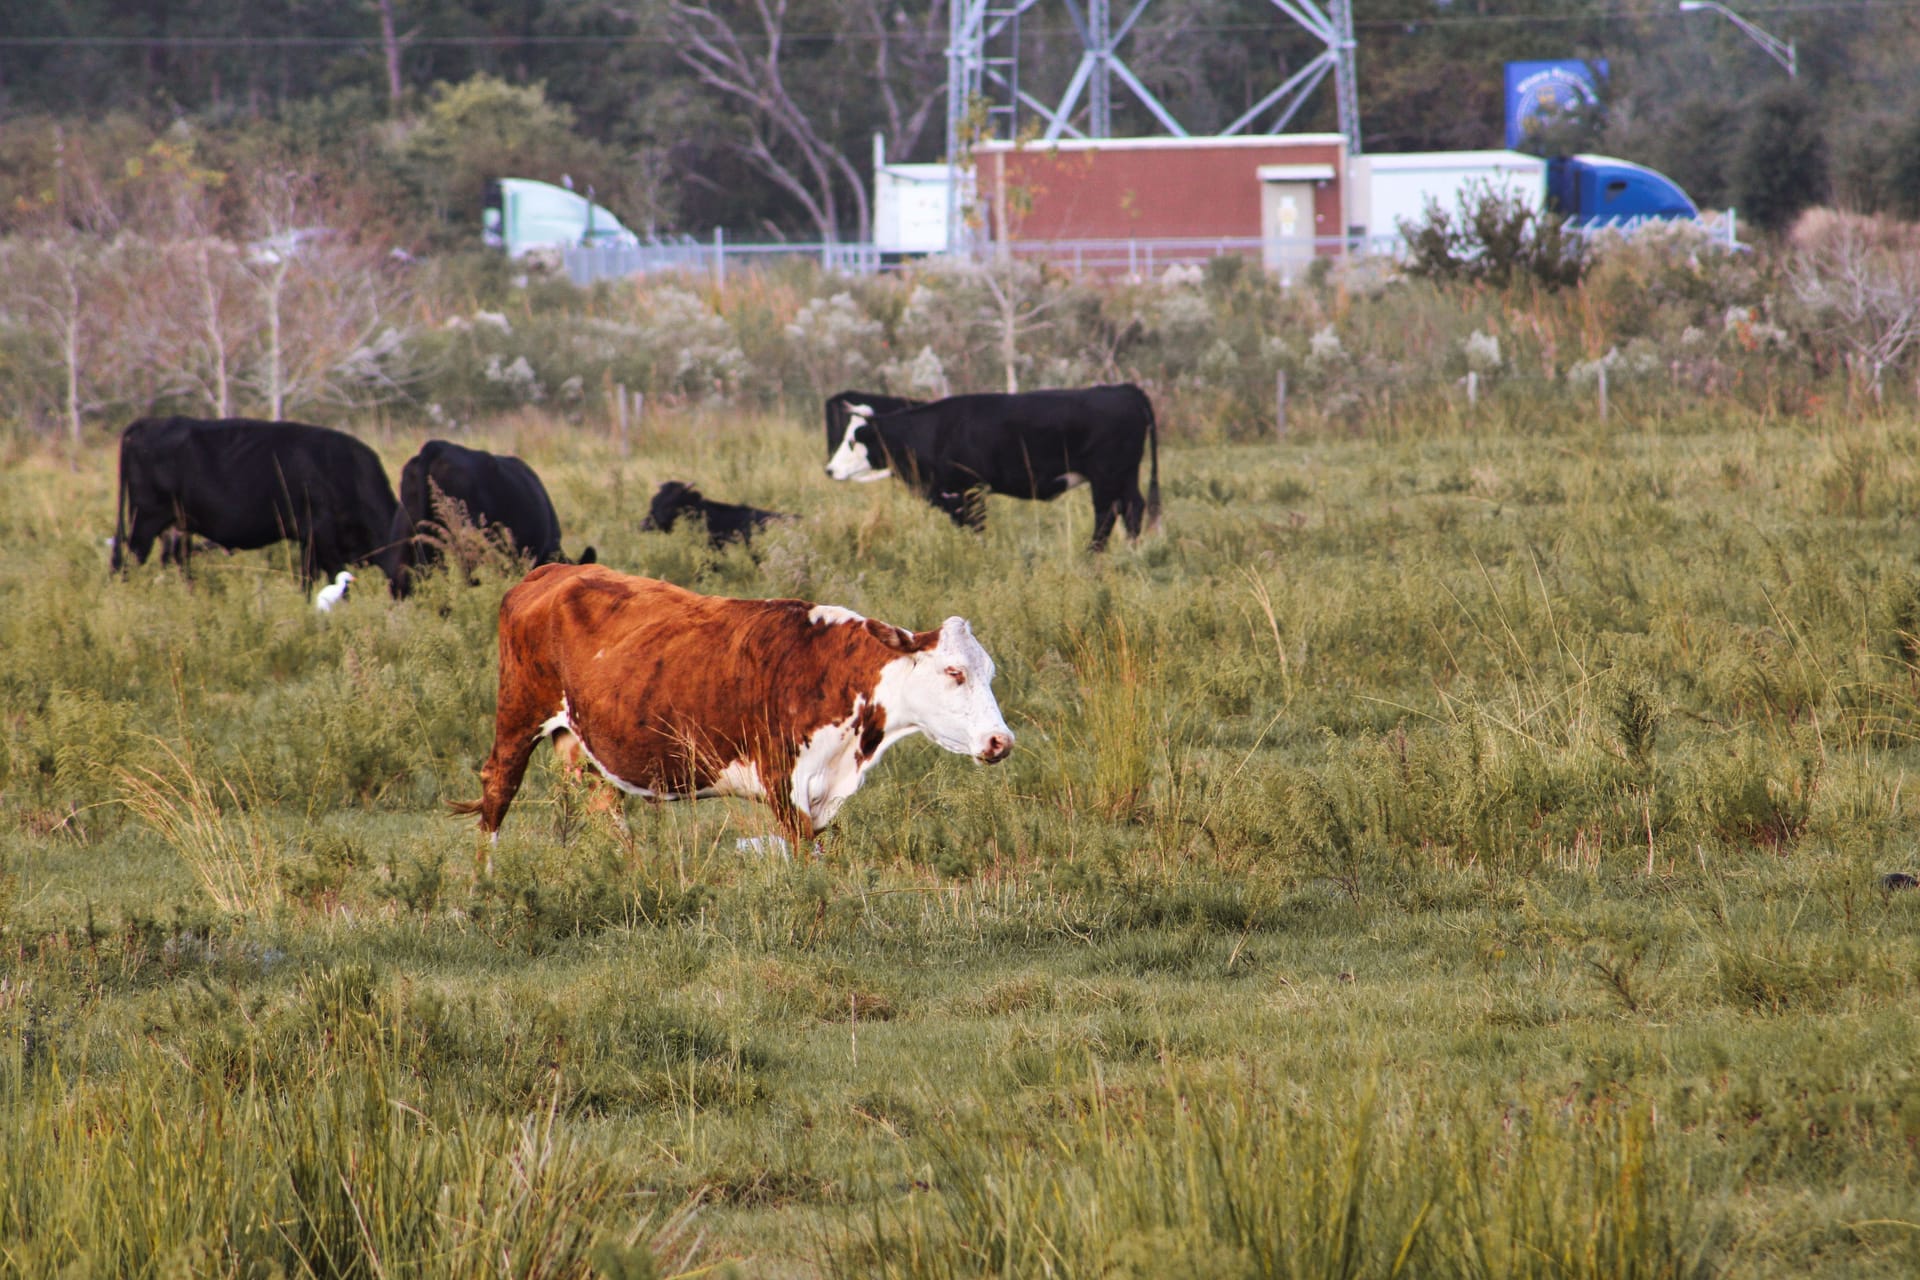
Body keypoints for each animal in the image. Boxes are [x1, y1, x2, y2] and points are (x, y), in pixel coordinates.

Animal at [111, 416, 397, 591]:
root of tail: (148, 422)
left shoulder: (309, 541)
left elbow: (308, 579)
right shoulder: (323, 536)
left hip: (176, 528)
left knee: (177, 562)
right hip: (144, 523)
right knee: (126, 563)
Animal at [455, 564, 1013, 844]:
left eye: (989, 673)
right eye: (954, 672)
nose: (1001, 741)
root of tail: (552, 570)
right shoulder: (785, 787)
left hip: (582, 741)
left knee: (603, 807)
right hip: (518, 715)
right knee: (497, 792)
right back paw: (486, 890)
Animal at [821, 383, 1159, 548]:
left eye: (852, 441)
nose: (829, 470)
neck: (934, 431)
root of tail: (1123, 389)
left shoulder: (970, 490)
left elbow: (977, 527)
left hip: (1106, 477)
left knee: (1107, 514)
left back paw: (1092, 558)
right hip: (1126, 475)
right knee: (1133, 508)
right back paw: (1132, 552)